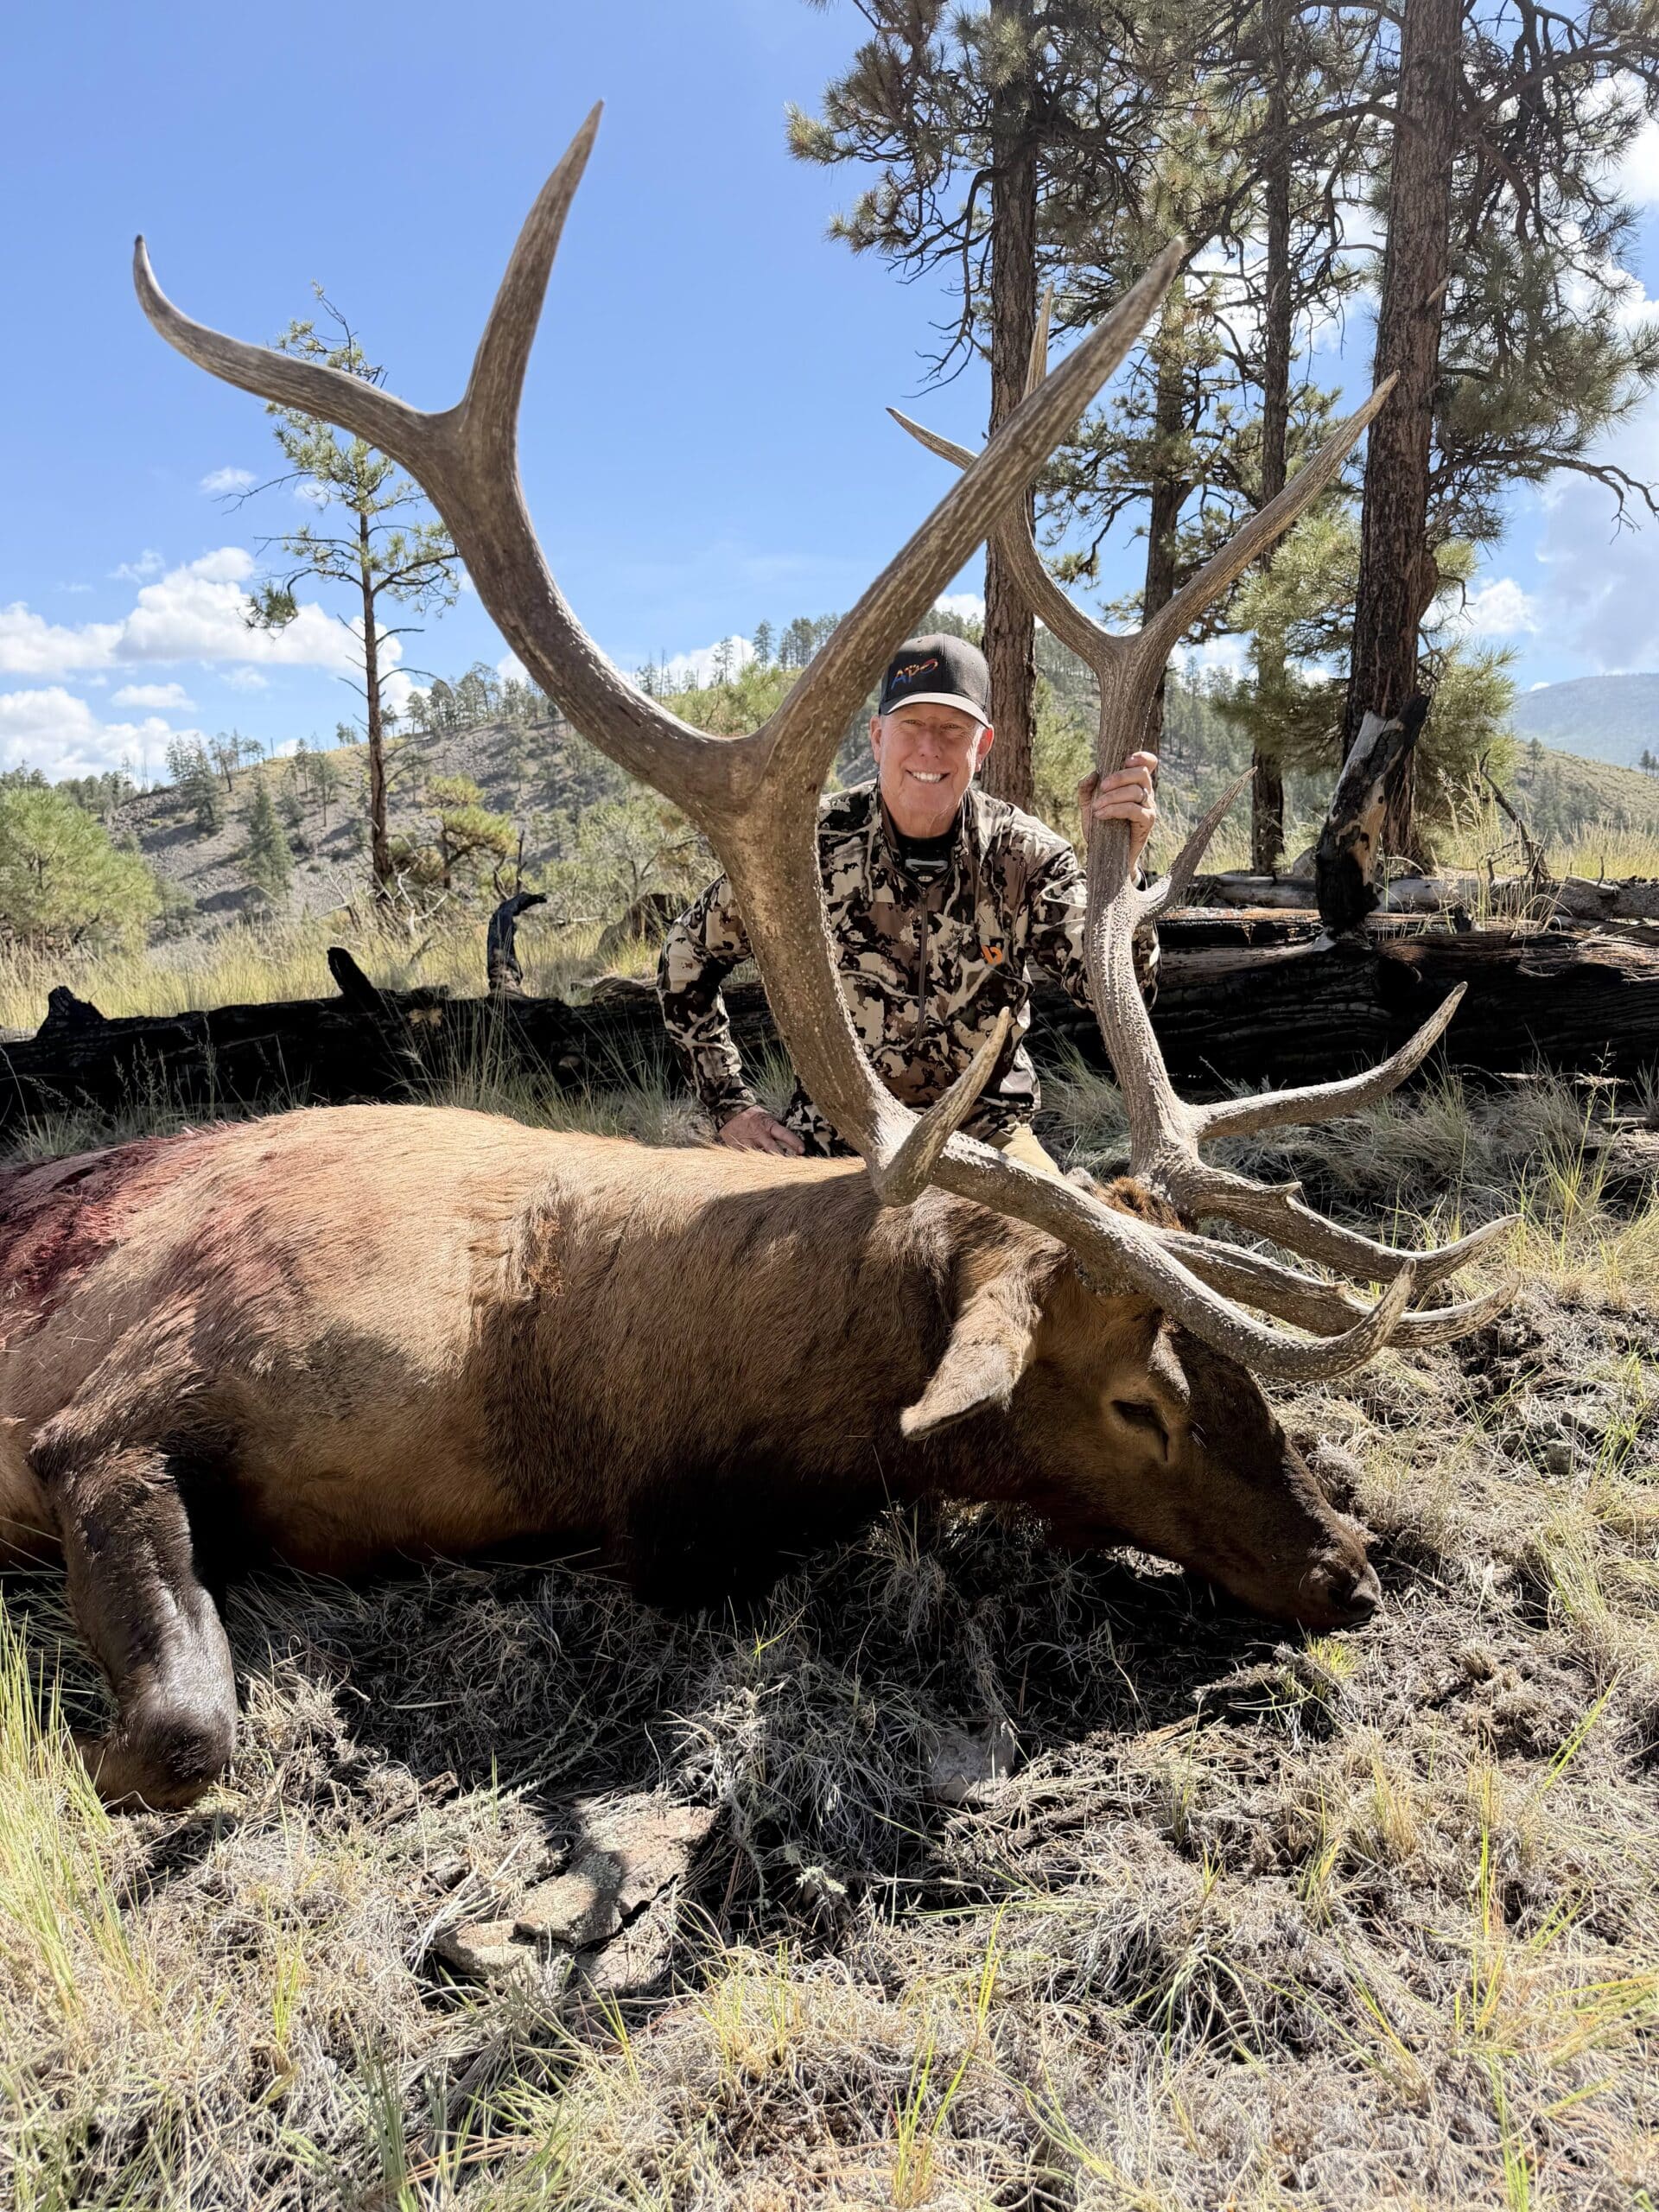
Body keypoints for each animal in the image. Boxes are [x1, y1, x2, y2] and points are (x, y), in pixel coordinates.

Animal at [0, 108, 1509, 1809]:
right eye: (1139, 1399)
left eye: (1238, 1376)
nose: (1350, 1570)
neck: (558, 1391)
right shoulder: (106, 1410)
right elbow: (184, 1727)